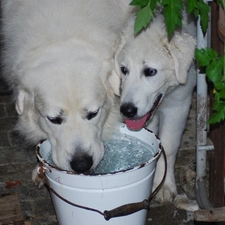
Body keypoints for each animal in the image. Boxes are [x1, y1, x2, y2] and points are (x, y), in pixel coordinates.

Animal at [113, 13, 196, 202]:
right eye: (123, 69)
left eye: (150, 72)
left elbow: (169, 146)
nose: (127, 110)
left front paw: (164, 185)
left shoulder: (179, 104)